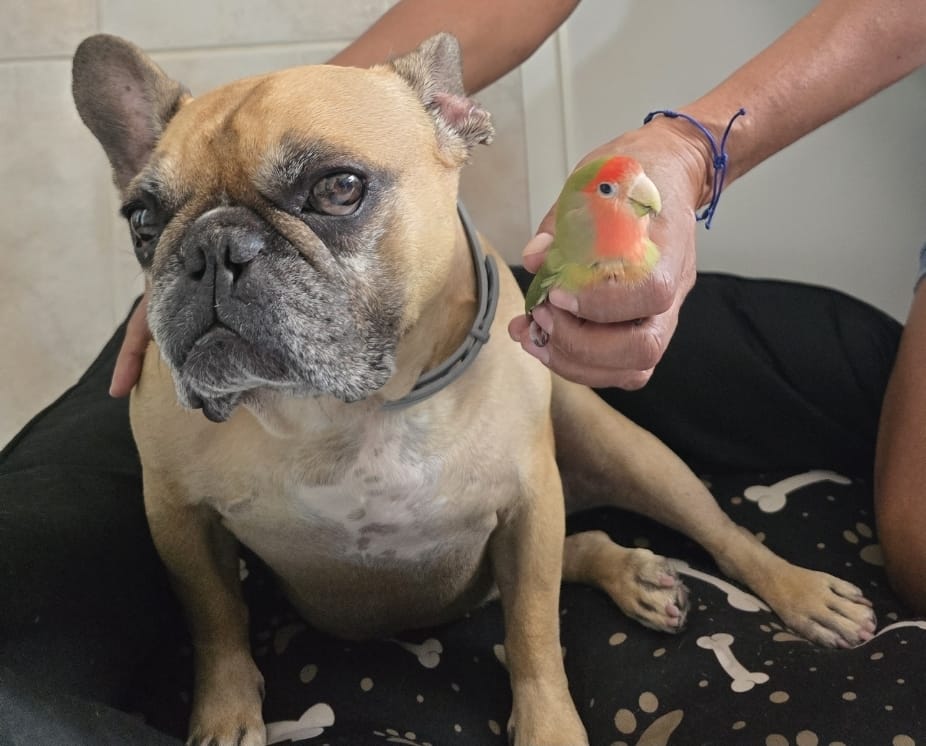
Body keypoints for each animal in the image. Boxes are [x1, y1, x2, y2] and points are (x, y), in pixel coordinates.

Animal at [72, 32, 876, 746]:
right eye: (142, 219)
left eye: (338, 187)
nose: (211, 249)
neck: (353, 408)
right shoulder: (178, 516)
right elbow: (218, 625)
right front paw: (224, 718)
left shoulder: (529, 504)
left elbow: (534, 634)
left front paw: (549, 728)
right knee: (579, 546)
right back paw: (634, 572)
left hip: (628, 453)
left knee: (715, 533)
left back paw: (798, 591)